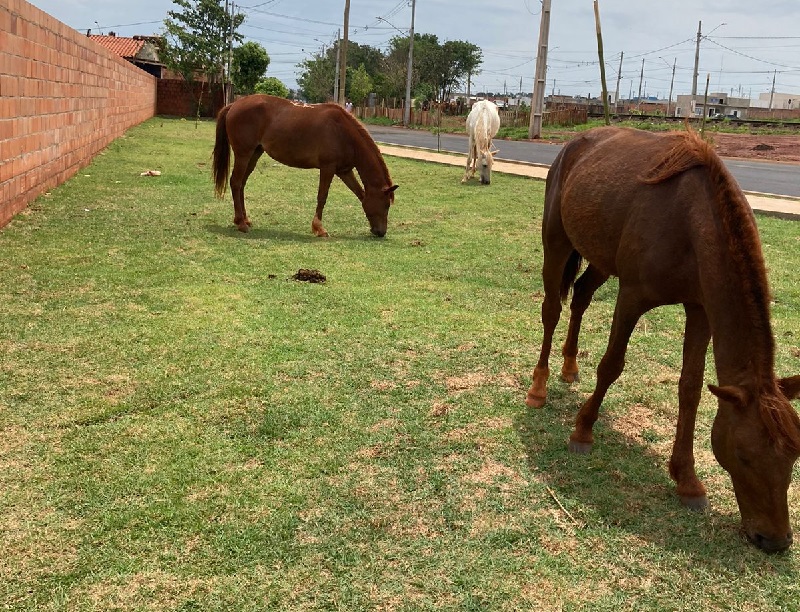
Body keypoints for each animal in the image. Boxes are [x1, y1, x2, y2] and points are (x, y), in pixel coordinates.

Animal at [214, 95, 398, 237]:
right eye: (386, 205)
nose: (381, 232)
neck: (343, 132)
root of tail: (234, 105)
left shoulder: (344, 171)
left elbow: (360, 194)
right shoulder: (328, 168)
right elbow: (322, 197)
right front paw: (319, 228)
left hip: (254, 154)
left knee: (241, 184)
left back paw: (244, 219)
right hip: (243, 155)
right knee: (235, 182)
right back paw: (241, 223)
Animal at [524, 126, 800, 552]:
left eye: (794, 458)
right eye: (743, 456)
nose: (775, 540)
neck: (692, 222)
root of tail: (574, 143)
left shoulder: (700, 309)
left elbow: (690, 388)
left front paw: (687, 480)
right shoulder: (633, 296)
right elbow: (611, 365)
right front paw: (583, 430)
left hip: (602, 258)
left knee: (582, 296)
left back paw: (570, 366)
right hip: (556, 244)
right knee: (553, 309)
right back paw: (539, 386)